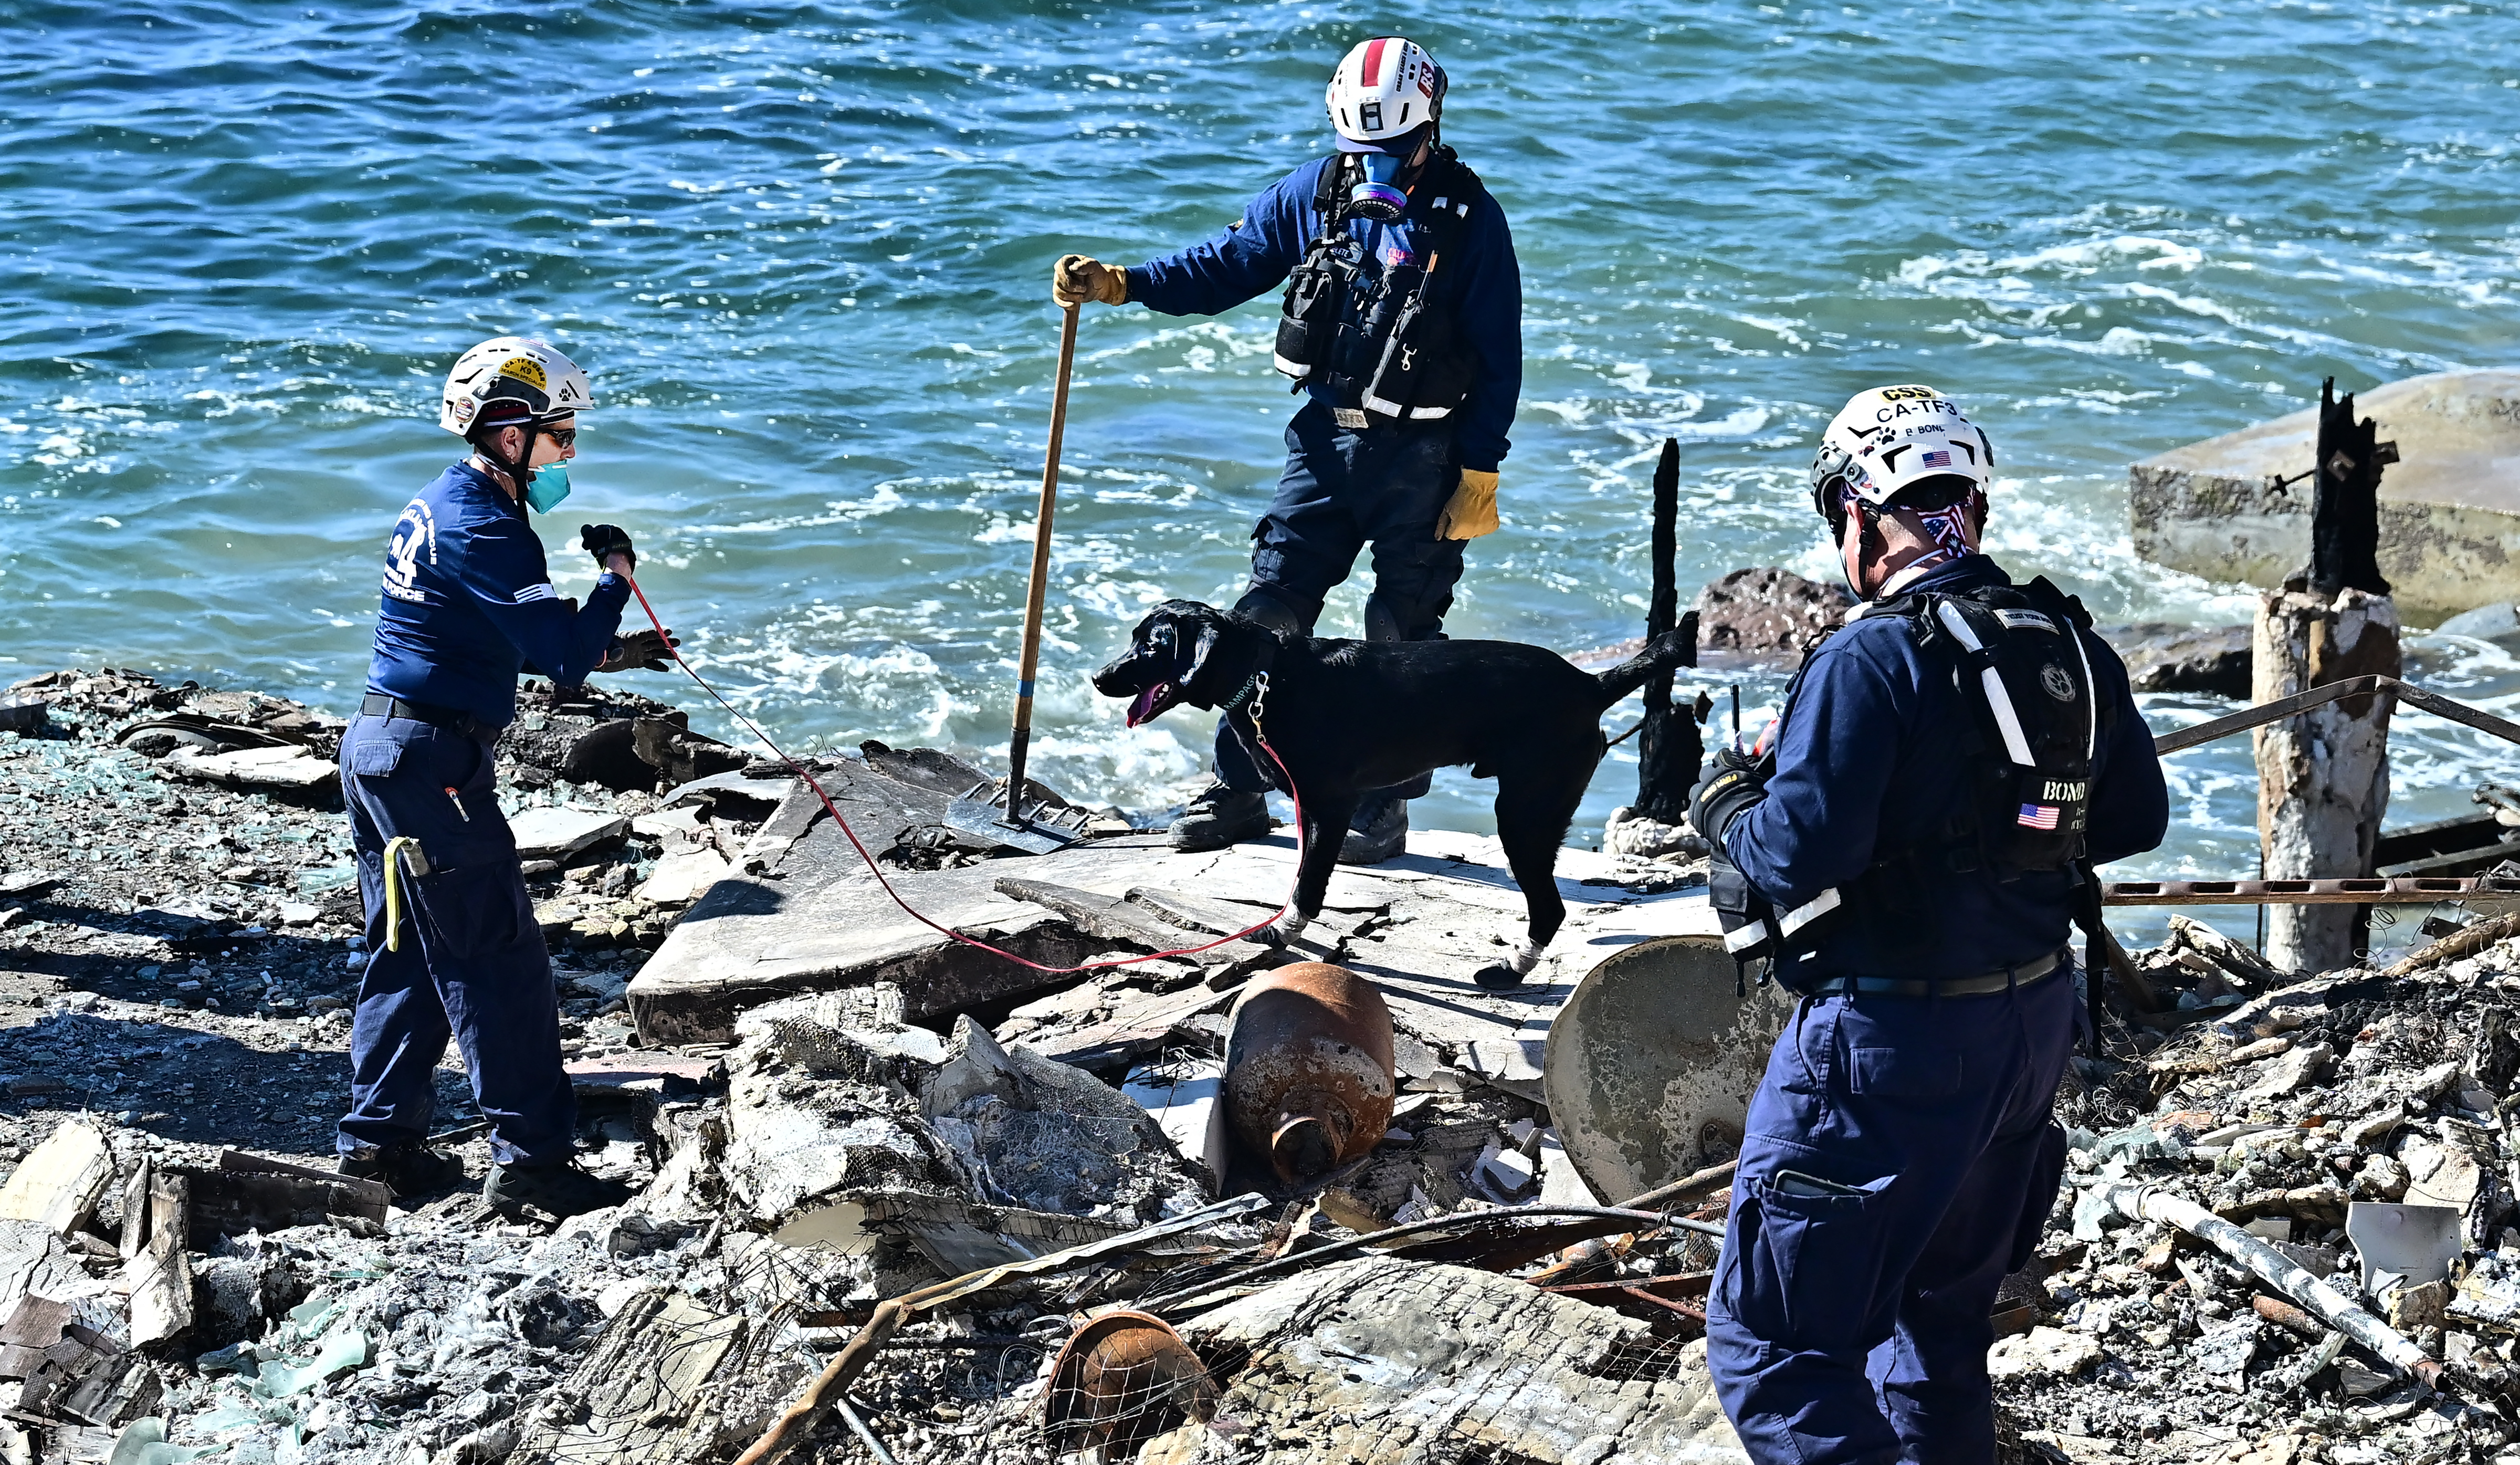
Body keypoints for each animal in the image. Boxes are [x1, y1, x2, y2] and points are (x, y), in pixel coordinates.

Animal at [1094, 600, 1683, 988]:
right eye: (1135, 639)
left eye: (1153, 646)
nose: (1099, 678)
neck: (1268, 675)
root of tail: (1590, 685)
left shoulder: (1330, 806)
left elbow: (1309, 884)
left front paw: (1283, 932)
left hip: (1524, 816)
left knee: (1550, 909)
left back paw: (1510, 970)